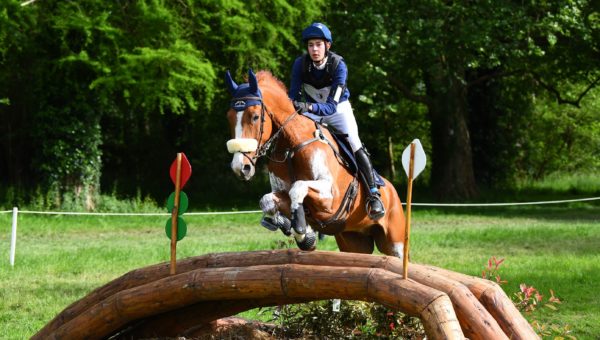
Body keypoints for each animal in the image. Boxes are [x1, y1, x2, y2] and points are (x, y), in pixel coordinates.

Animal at [225, 69, 408, 258]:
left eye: (254, 117)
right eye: (229, 117)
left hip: (394, 243)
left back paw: (376, 204)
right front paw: (302, 233)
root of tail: (392, 191)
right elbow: (268, 200)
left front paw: (301, 229)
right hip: (354, 242)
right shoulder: (280, 192)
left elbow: (298, 187)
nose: (240, 168)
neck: (291, 146)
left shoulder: (330, 198)